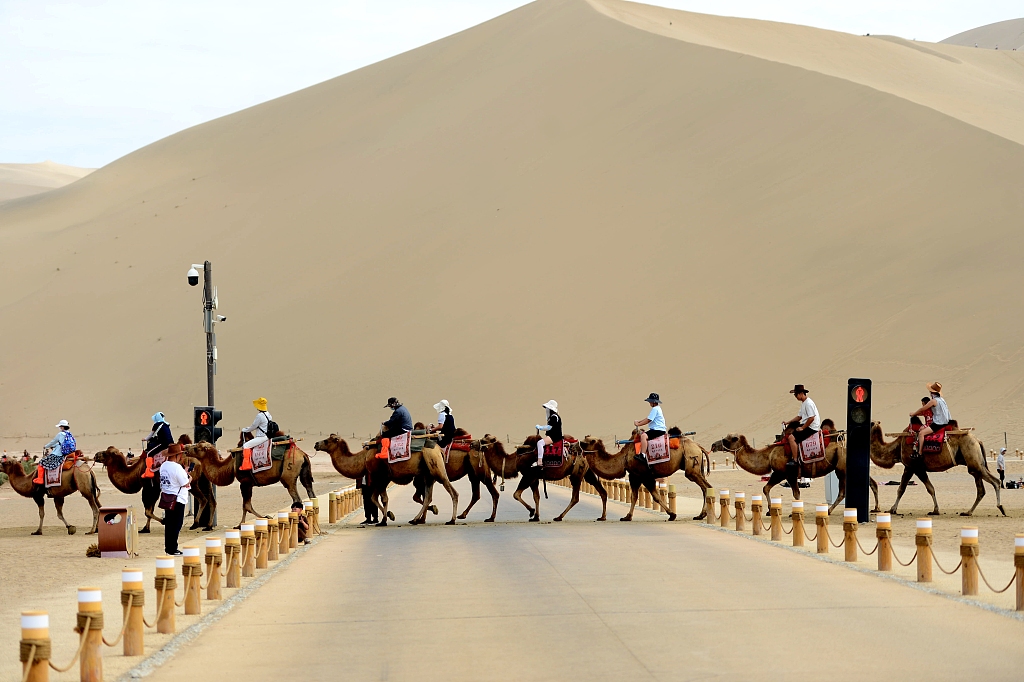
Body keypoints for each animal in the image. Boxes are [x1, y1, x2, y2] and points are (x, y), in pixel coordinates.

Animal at [183, 436, 311, 524]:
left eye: (196, 448)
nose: (186, 447)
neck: (231, 465)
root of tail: (302, 454)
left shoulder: (245, 482)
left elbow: (246, 506)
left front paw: (241, 524)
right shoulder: (248, 484)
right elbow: (247, 505)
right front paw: (265, 517)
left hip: (288, 475)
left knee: (296, 497)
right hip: (304, 473)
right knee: (309, 491)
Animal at [311, 432, 456, 522]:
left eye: (327, 441)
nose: (316, 444)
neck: (363, 457)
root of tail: (439, 449)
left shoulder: (380, 477)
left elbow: (381, 498)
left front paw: (384, 519)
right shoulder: (382, 479)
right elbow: (374, 498)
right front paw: (389, 516)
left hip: (435, 465)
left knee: (452, 492)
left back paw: (452, 520)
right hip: (428, 473)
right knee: (428, 497)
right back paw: (415, 519)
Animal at [577, 430, 712, 520]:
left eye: (584, 443)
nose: (575, 447)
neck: (623, 459)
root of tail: (698, 446)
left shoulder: (641, 475)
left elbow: (646, 496)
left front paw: (627, 516)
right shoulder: (636, 476)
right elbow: (639, 495)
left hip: (691, 464)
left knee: (706, 487)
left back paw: (702, 515)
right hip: (696, 467)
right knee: (705, 488)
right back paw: (701, 515)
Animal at [720, 428, 880, 512]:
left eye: (730, 439)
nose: (717, 444)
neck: (769, 454)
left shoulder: (786, 473)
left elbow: (796, 494)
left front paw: (793, 513)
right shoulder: (780, 474)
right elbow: (766, 488)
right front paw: (769, 510)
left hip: (842, 469)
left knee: (843, 492)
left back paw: (828, 511)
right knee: (872, 483)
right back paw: (876, 508)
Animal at [868, 419, 1003, 516]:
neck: (897, 447)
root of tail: (978, 441)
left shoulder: (912, 467)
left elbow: (902, 489)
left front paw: (892, 509)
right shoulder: (918, 468)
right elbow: (931, 488)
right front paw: (935, 510)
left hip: (973, 458)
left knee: (996, 481)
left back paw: (1000, 508)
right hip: (974, 462)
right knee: (981, 489)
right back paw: (968, 512)